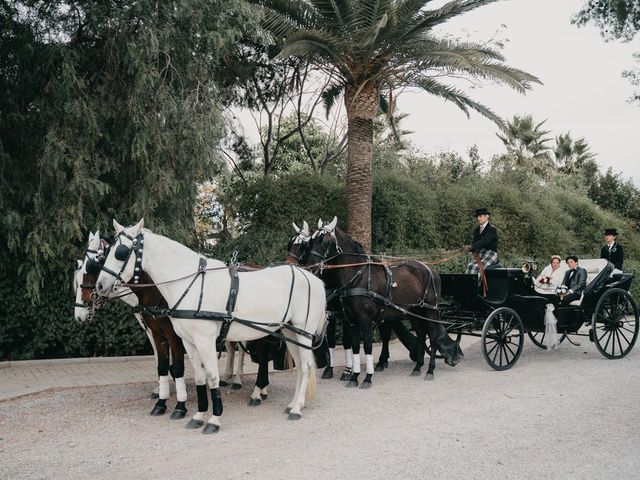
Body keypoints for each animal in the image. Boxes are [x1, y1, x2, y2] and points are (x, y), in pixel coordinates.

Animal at [97, 219, 328, 434]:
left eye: (120, 252)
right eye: (106, 252)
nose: (100, 286)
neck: (191, 284)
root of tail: (313, 278)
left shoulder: (204, 340)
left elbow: (212, 376)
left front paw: (214, 420)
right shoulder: (188, 342)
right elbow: (200, 377)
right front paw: (198, 416)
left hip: (304, 333)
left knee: (306, 367)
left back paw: (296, 408)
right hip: (290, 331)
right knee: (301, 366)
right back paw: (293, 404)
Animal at [300, 218, 460, 386]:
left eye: (324, 241)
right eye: (311, 241)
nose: (310, 267)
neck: (359, 277)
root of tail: (431, 270)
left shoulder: (365, 320)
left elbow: (367, 346)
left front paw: (367, 378)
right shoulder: (351, 320)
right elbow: (355, 347)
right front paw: (354, 377)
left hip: (430, 310)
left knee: (433, 336)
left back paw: (430, 370)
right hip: (414, 312)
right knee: (422, 334)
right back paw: (417, 367)